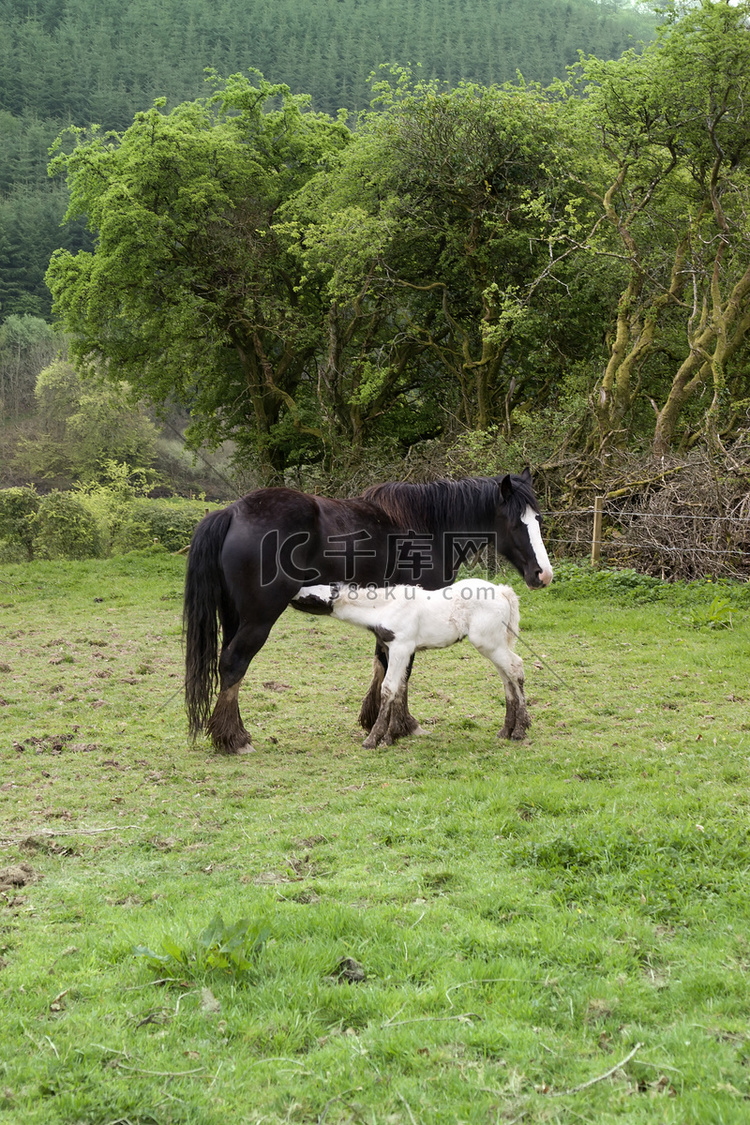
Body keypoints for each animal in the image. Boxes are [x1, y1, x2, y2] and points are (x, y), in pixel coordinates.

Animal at [290, 580, 530, 747]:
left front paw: (373, 739)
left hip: (488, 643)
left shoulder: (401, 648)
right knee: (506, 676)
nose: (291, 593)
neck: (385, 608)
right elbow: (399, 687)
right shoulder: (393, 650)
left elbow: (388, 688)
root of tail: (503, 591)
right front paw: (391, 736)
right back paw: (506, 731)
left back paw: (520, 730)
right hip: (495, 644)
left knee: (516, 667)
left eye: (313, 597)